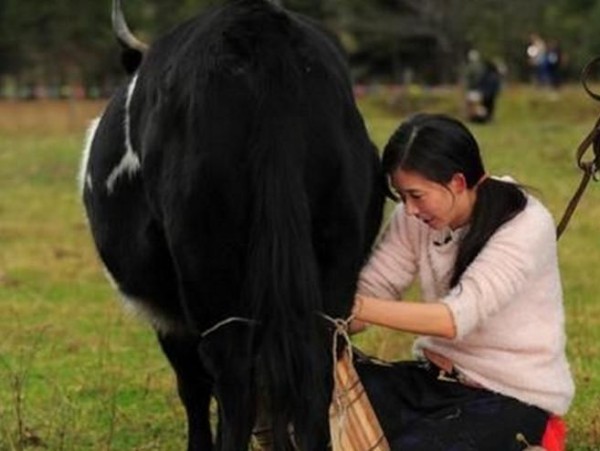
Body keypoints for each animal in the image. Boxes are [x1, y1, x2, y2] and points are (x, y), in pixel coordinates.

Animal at [79, 1, 384, 450]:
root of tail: (257, 29)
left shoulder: (171, 316)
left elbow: (192, 385)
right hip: (334, 256)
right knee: (312, 367)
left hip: (207, 264)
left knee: (231, 372)